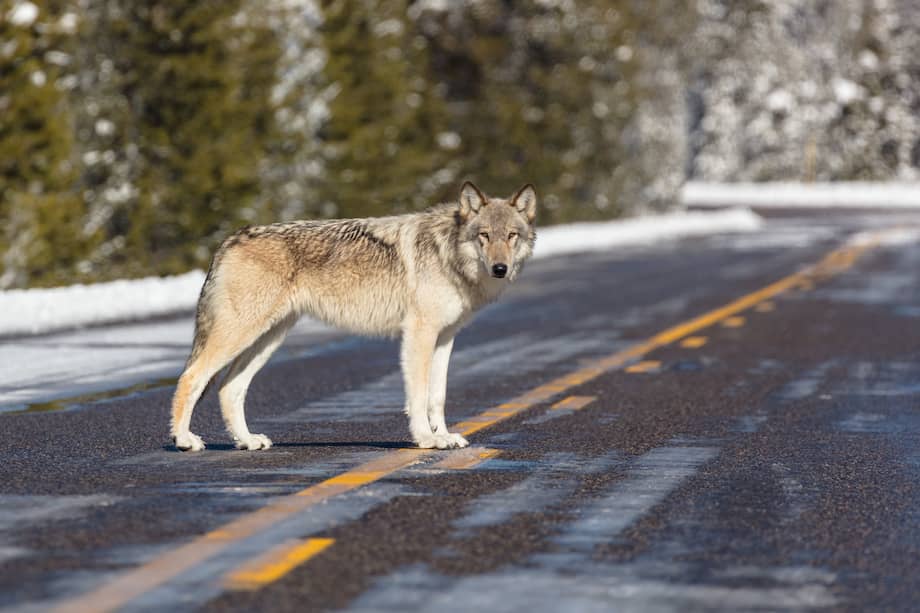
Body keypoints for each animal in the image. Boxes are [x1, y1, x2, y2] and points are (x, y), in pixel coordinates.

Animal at [170, 182, 537, 452]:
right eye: (484, 235)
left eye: (511, 236)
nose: (500, 268)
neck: (448, 253)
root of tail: (229, 240)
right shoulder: (419, 334)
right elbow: (418, 395)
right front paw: (426, 439)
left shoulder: (445, 337)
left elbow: (438, 396)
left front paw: (444, 436)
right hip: (241, 335)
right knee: (191, 376)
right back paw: (184, 440)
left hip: (268, 339)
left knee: (229, 388)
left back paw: (247, 441)